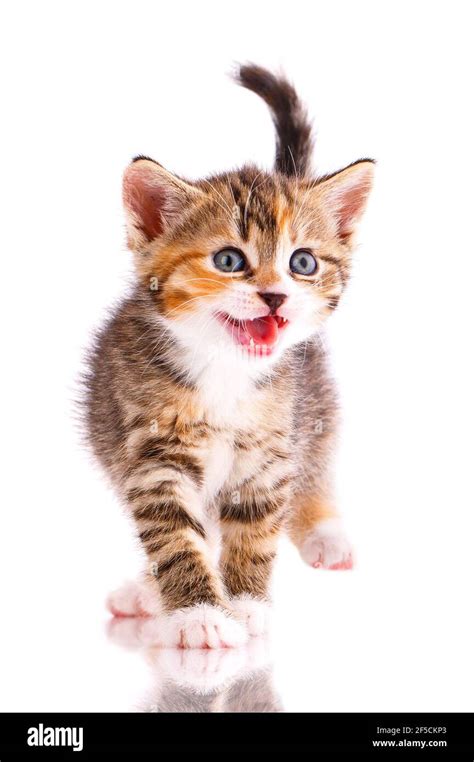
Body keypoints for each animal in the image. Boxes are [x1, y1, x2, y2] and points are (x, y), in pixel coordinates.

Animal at [85, 63, 374, 648]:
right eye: (228, 260)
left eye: (303, 262)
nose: (275, 295)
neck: (224, 371)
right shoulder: (151, 455)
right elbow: (175, 534)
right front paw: (199, 613)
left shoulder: (270, 448)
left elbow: (257, 527)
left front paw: (245, 604)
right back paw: (146, 592)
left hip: (314, 401)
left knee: (318, 458)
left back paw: (326, 533)